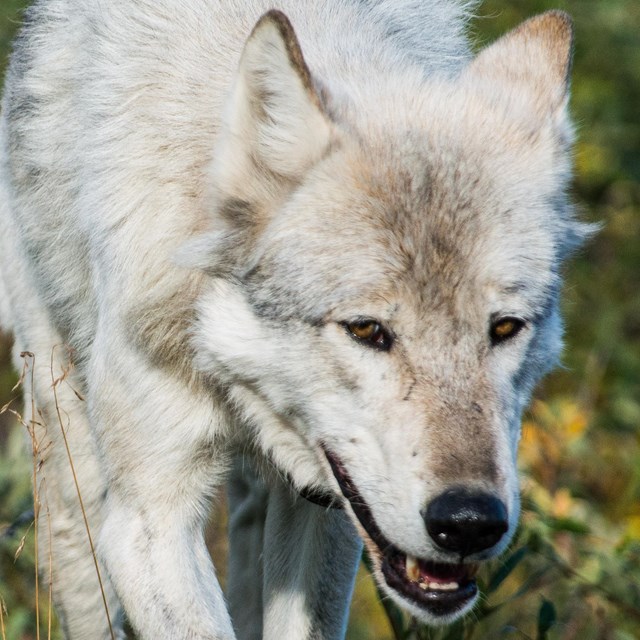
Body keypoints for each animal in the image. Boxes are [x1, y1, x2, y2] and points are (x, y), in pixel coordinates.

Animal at [0, 0, 592, 636]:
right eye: (366, 330)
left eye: (504, 328)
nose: (469, 522)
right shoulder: (150, 520)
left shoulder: (333, 501)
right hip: (71, 465)